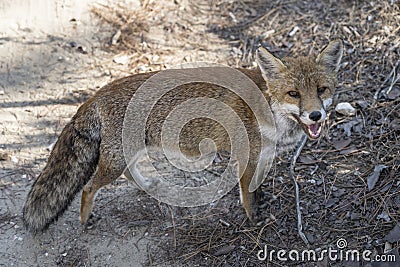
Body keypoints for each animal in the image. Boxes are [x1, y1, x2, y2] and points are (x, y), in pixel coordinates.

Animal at [22, 40, 344, 234]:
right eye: (293, 94)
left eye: (322, 90)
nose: (316, 116)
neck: (269, 111)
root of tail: (95, 95)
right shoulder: (245, 155)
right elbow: (246, 193)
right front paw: (253, 219)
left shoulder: (262, 155)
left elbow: (256, 184)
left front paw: (262, 199)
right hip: (116, 160)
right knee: (89, 187)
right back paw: (84, 219)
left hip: (130, 152)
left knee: (127, 174)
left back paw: (147, 186)